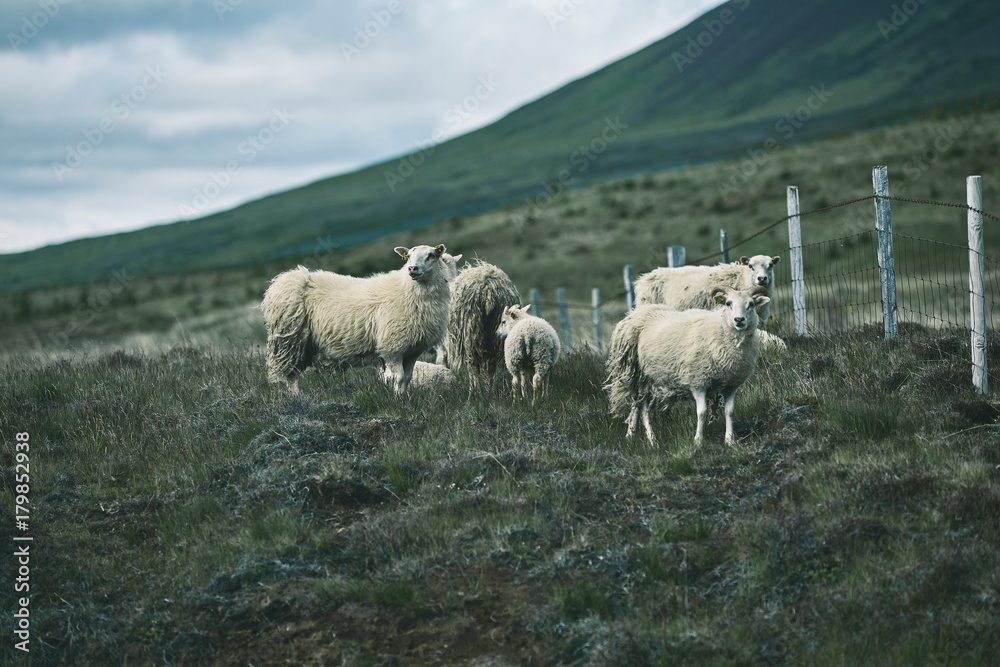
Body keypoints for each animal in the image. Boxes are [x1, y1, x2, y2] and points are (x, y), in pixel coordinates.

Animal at [260, 244, 451, 395]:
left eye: (431, 255)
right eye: (408, 256)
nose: (412, 269)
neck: (408, 290)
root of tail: (292, 278)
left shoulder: (413, 349)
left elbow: (408, 377)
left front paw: (405, 398)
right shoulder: (392, 346)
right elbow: (398, 377)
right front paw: (397, 399)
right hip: (290, 341)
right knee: (291, 374)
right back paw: (296, 397)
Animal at [443, 260, 521, 389]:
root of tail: (488, 292)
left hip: (470, 332)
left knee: (474, 366)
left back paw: (477, 391)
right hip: (498, 333)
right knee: (492, 366)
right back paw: (491, 389)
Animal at [605, 286, 770, 446]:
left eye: (751, 304)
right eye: (728, 303)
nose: (739, 320)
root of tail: (637, 312)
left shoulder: (731, 385)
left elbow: (730, 412)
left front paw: (730, 440)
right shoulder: (698, 381)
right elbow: (702, 412)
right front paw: (698, 441)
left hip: (645, 376)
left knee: (637, 404)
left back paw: (631, 434)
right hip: (637, 372)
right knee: (642, 407)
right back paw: (652, 440)